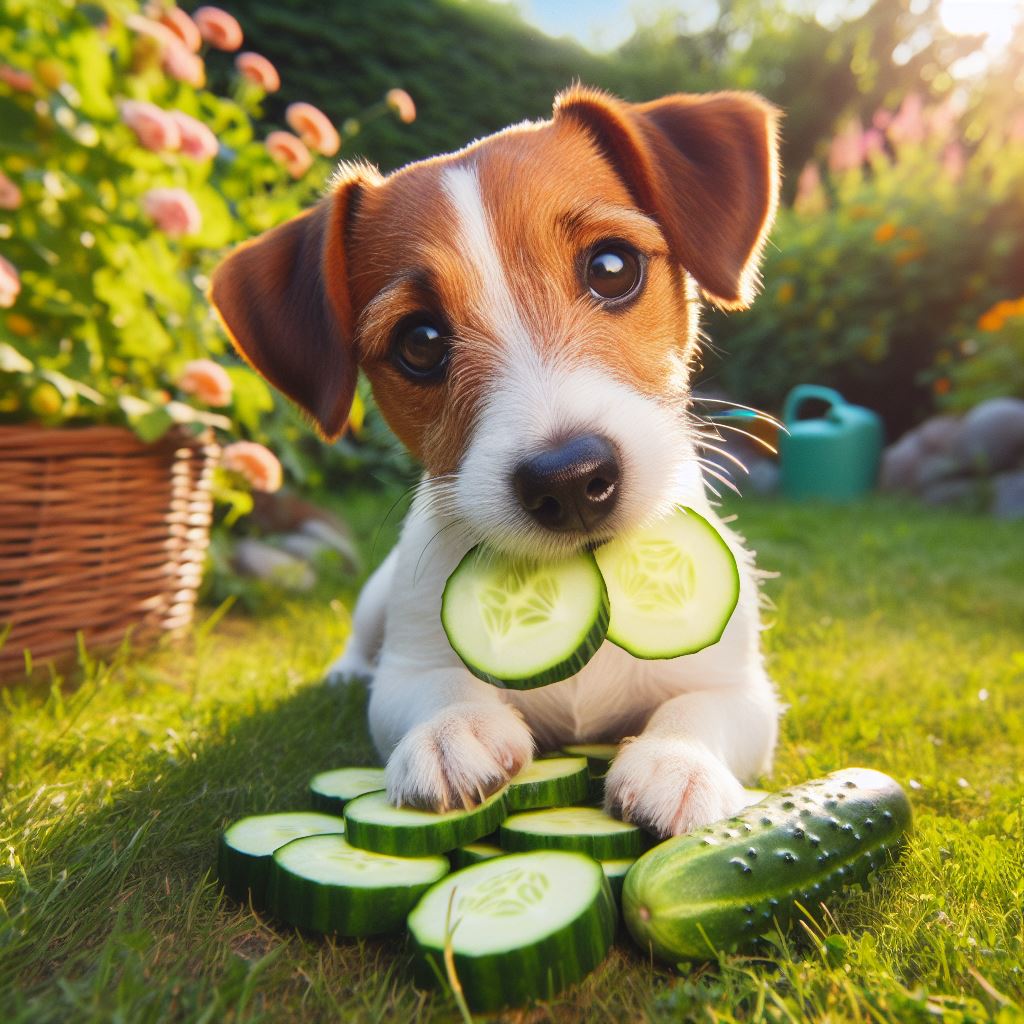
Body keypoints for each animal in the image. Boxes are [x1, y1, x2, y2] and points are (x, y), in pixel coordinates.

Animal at [209, 86, 782, 839]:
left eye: (613, 268)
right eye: (420, 341)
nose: (571, 480)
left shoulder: (741, 689)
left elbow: (700, 708)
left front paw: (677, 761)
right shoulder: (406, 671)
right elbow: (428, 688)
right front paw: (452, 730)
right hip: (378, 596)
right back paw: (343, 671)